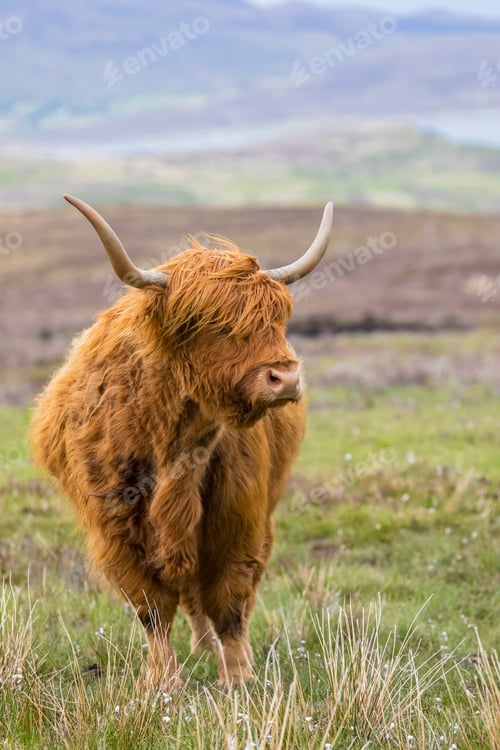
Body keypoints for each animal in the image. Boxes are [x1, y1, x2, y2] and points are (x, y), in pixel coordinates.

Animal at [31, 195, 334, 687]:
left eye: (278, 319)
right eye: (210, 323)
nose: (286, 378)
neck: (177, 446)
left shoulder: (238, 518)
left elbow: (230, 599)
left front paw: (239, 675)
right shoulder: (116, 529)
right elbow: (151, 606)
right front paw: (162, 679)